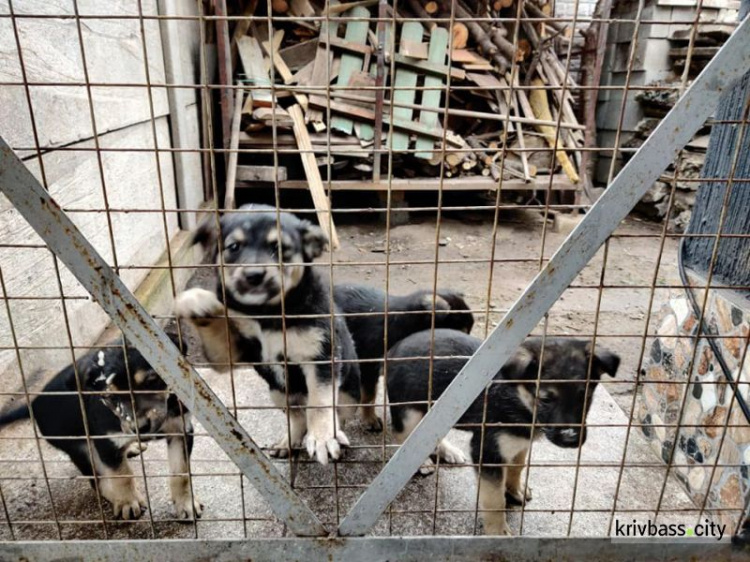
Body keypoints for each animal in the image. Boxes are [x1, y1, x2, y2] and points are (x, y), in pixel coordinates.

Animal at [0, 332, 201, 520]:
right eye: (110, 397)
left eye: (152, 381)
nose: (140, 428)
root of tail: (33, 404)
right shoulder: (106, 442)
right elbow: (121, 475)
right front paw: (128, 502)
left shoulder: (181, 430)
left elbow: (181, 473)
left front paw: (185, 503)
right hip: (79, 447)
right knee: (98, 481)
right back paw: (115, 495)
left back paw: (131, 448)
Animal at [178, 205, 362, 464]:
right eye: (234, 247)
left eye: (280, 249)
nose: (254, 276)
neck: (267, 313)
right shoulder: (229, 354)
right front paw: (198, 302)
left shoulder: (320, 357)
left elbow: (320, 403)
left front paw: (324, 437)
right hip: (278, 392)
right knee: (297, 416)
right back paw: (288, 442)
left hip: (348, 392)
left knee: (335, 413)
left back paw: (338, 437)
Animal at [384, 328, 620, 532]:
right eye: (545, 399)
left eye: (585, 396)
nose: (571, 440)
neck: (520, 401)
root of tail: (396, 347)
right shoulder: (487, 450)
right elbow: (495, 500)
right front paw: (498, 532)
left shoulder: (519, 443)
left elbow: (517, 467)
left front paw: (515, 490)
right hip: (409, 411)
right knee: (403, 434)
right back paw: (420, 461)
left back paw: (447, 451)